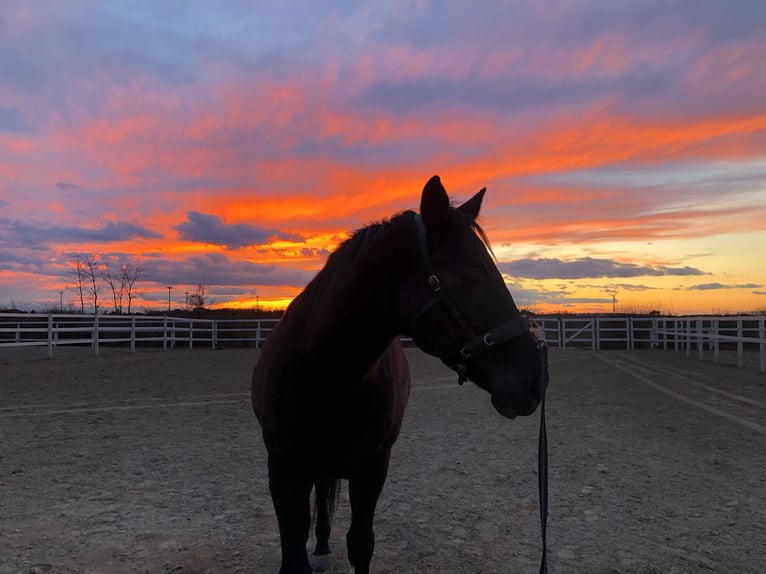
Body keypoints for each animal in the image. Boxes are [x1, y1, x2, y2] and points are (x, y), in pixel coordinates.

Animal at [252, 175, 547, 574]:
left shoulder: (372, 468)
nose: (535, 380)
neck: (324, 377)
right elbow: (294, 552)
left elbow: (361, 544)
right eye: (472, 276)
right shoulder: (283, 470)